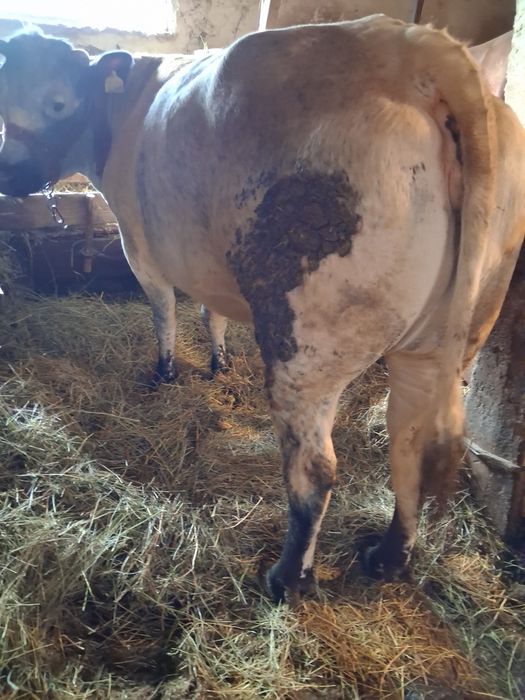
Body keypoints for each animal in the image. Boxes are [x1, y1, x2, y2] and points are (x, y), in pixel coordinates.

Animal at [0, 15, 523, 604]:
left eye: (58, 103)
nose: (9, 177)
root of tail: (412, 48)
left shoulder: (140, 245)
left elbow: (164, 311)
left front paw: (164, 373)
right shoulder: (207, 262)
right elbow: (212, 314)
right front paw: (218, 363)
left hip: (309, 343)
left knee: (315, 470)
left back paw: (289, 577)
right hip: (442, 341)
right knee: (409, 444)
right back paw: (388, 558)